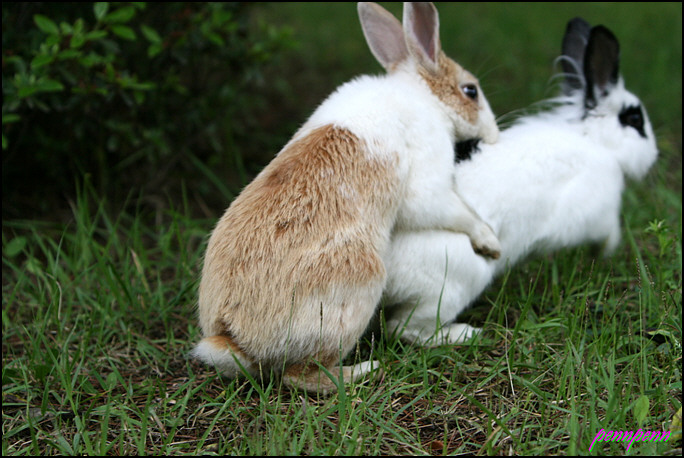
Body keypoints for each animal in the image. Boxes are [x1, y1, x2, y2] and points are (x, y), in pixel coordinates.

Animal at [192, 0, 502, 394]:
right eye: (470, 91)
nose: (495, 135)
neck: (424, 96)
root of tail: (233, 338)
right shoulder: (428, 184)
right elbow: (454, 210)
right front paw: (491, 243)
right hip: (355, 295)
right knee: (303, 375)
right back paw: (367, 369)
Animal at [384, 17, 656, 346]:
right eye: (635, 120)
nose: (653, 154)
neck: (596, 141)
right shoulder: (595, 214)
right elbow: (608, 231)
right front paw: (606, 252)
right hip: (456, 281)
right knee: (405, 329)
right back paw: (467, 334)